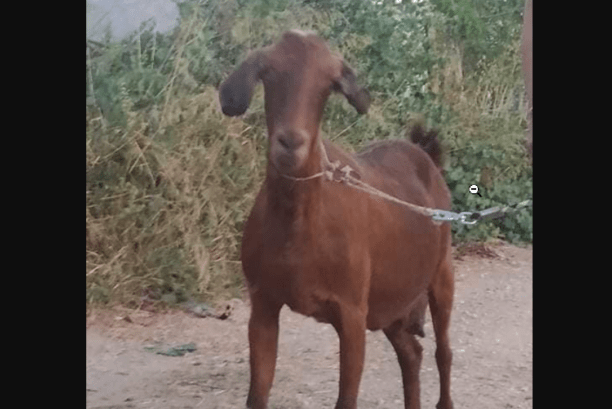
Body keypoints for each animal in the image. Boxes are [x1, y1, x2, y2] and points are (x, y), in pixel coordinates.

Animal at [220, 29, 454, 408]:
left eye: (328, 84)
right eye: (267, 73)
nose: (290, 143)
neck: (300, 225)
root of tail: (424, 154)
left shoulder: (352, 312)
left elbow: (347, 399)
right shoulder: (264, 303)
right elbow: (257, 395)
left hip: (441, 272)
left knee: (442, 352)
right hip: (391, 295)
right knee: (411, 353)